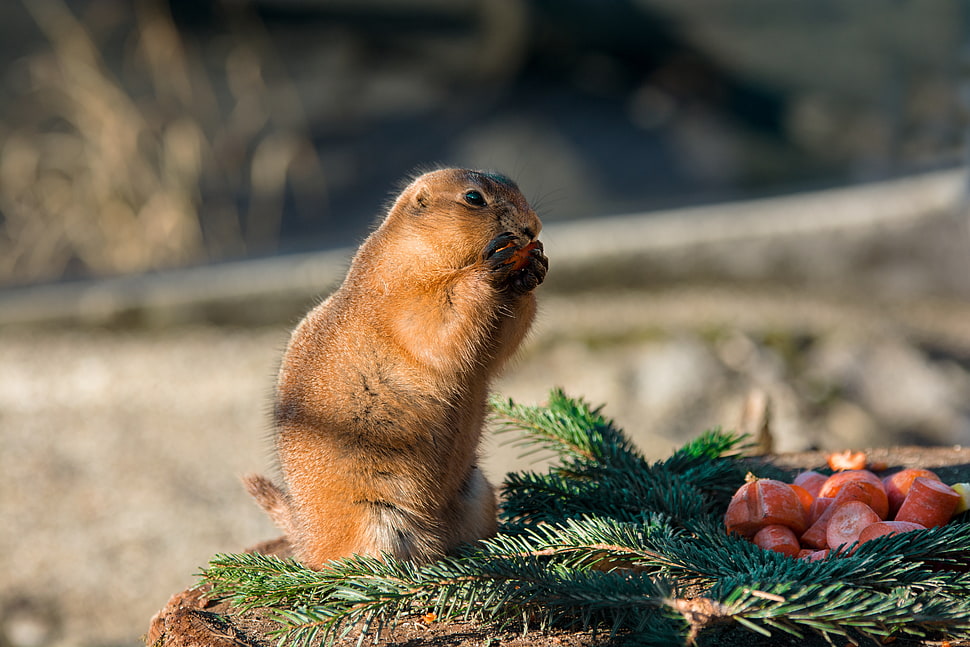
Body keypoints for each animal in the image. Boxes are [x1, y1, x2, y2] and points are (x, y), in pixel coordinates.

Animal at [244, 168, 548, 569]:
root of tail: (305, 541)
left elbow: (500, 340)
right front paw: (493, 267)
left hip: (478, 493)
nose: (533, 227)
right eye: (473, 198)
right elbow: (437, 316)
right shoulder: (399, 292)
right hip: (375, 520)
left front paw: (533, 268)